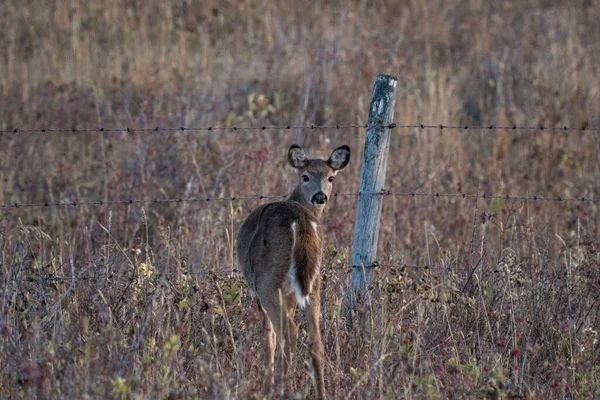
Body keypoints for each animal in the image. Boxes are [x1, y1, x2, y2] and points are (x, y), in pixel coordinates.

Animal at [236, 143, 352, 396]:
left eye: (330, 177)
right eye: (305, 176)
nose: (320, 196)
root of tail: (300, 221)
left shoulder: (259, 291)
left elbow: (268, 337)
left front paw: (267, 384)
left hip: (268, 280)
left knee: (287, 331)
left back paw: (281, 388)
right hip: (314, 281)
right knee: (315, 339)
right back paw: (320, 393)